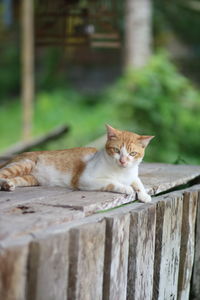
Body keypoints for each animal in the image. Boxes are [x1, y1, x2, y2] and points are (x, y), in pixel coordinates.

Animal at [0, 123, 154, 203]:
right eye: (116, 150)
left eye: (132, 153)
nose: (122, 161)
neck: (121, 171)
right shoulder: (85, 179)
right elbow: (111, 182)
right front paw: (126, 188)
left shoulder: (133, 175)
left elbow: (138, 182)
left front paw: (144, 194)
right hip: (24, 164)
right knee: (2, 173)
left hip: (30, 179)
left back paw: (8, 185)